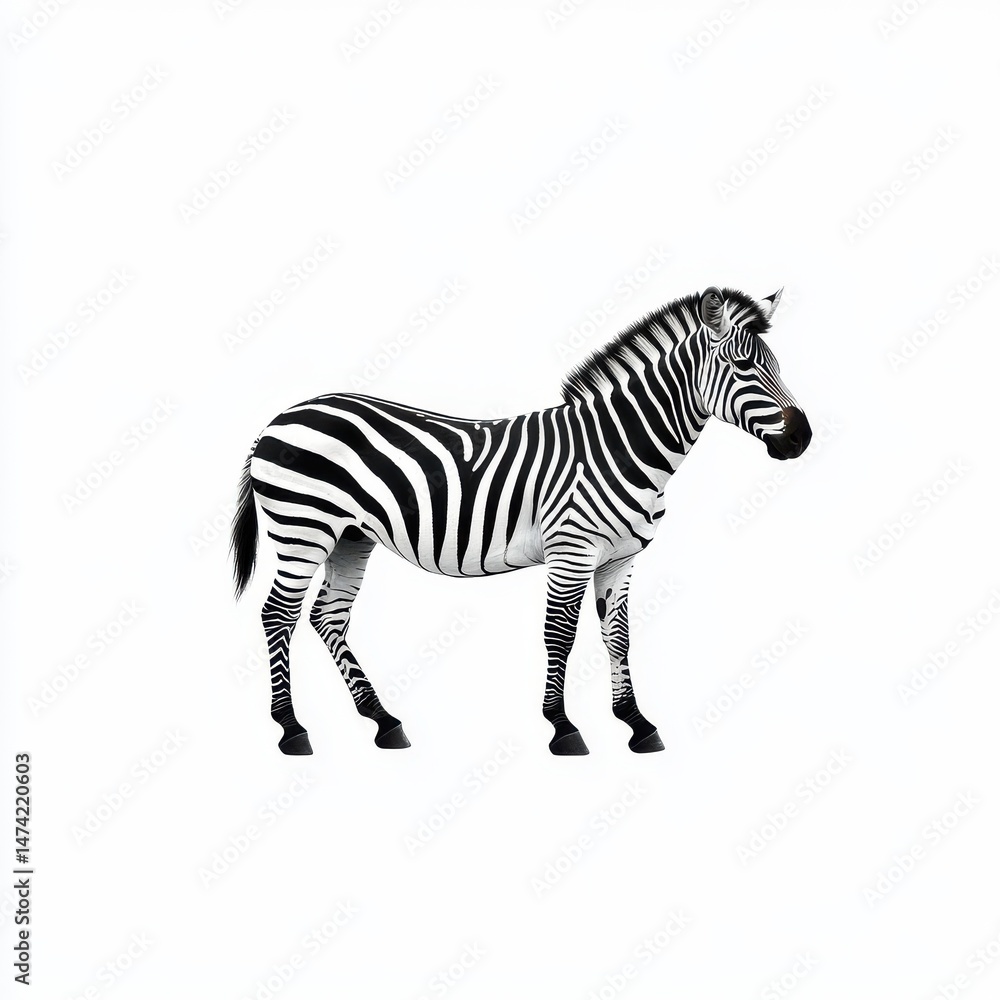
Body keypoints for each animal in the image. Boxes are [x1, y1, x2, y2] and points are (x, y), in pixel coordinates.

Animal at [230, 286, 811, 756]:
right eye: (743, 368)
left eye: (777, 366)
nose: (803, 438)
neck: (619, 446)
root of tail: (280, 417)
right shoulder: (571, 550)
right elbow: (560, 635)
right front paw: (563, 728)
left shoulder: (620, 559)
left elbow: (618, 637)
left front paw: (637, 724)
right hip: (302, 528)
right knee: (277, 615)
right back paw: (292, 729)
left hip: (350, 536)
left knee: (327, 617)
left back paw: (384, 721)